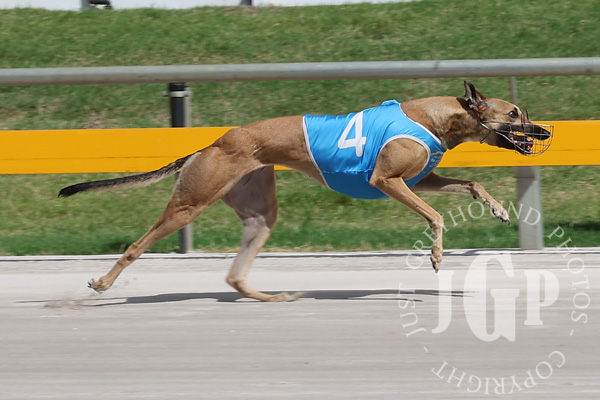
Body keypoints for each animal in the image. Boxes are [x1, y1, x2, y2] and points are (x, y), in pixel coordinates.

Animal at [59, 81, 553, 302]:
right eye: (514, 113)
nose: (546, 132)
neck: (437, 117)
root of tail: (211, 143)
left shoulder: (420, 179)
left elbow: (472, 182)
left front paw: (497, 209)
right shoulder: (387, 182)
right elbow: (434, 215)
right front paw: (435, 256)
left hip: (259, 213)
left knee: (235, 273)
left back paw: (269, 297)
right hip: (190, 203)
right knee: (137, 245)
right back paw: (102, 283)